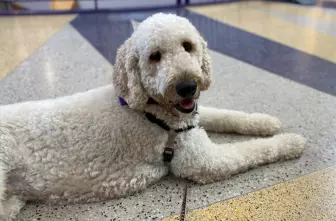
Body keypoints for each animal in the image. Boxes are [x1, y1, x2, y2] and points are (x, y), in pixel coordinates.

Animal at [0, 12, 308, 220]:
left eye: (187, 46)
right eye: (155, 56)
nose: (187, 86)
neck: (150, 109)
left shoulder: (191, 119)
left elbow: (225, 115)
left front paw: (265, 122)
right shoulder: (204, 161)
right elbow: (257, 149)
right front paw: (291, 141)